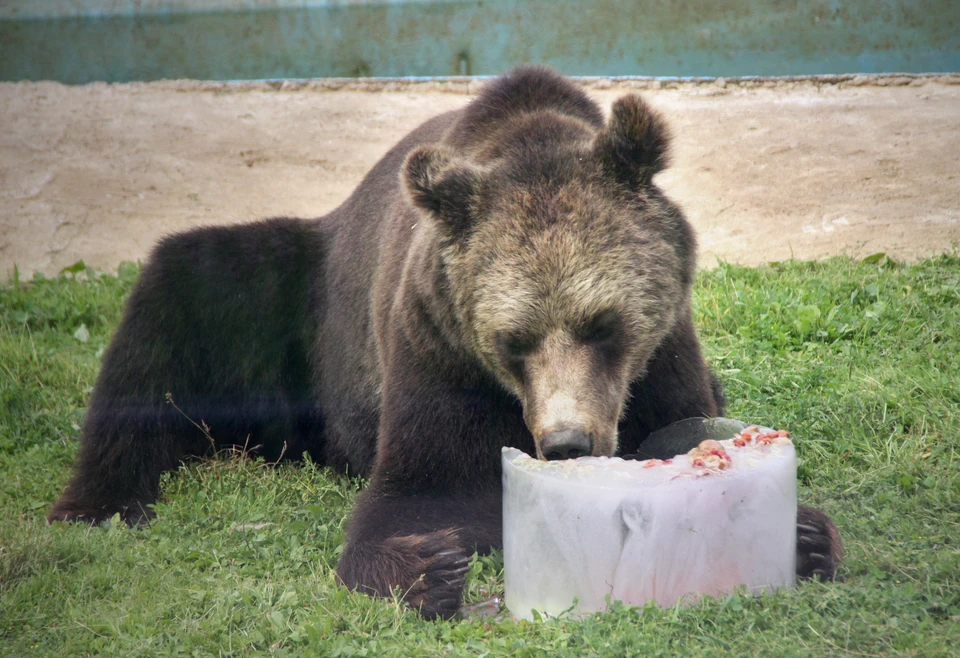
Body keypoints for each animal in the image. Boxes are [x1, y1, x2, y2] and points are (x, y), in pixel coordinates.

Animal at [48, 65, 840, 616]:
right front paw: (428, 565)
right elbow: (424, 490)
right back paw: (98, 501)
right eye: (514, 338)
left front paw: (802, 534)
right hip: (289, 312)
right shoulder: (437, 350)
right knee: (177, 294)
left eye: (603, 324)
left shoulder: (663, 353)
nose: (567, 443)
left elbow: (683, 426)